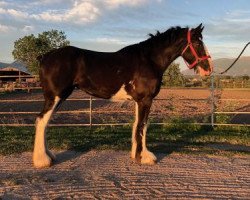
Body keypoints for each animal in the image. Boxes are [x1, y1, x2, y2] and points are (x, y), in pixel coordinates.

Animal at [32, 23, 213, 168]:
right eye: (198, 42)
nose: (208, 69)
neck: (150, 60)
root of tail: (45, 56)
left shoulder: (138, 101)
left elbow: (138, 125)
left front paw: (137, 154)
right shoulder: (146, 100)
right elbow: (142, 126)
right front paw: (145, 158)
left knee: (45, 122)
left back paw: (49, 156)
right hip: (55, 96)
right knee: (42, 120)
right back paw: (42, 160)